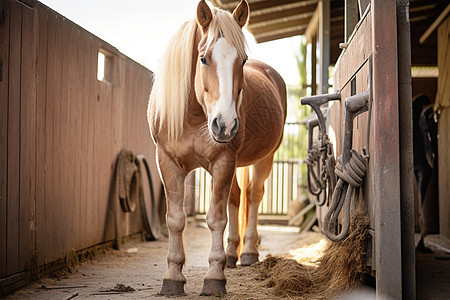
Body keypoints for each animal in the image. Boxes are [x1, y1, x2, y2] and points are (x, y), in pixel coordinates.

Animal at [149, 0, 288, 296]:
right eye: (203, 58)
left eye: (243, 60)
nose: (225, 125)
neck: (192, 116)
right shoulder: (168, 162)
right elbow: (175, 219)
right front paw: (172, 278)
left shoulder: (223, 162)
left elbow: (215, 219)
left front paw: (214, 277)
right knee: (236, 198)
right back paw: (232, 255)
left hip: (264, 159)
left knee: (253, 196)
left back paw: (247, 253)